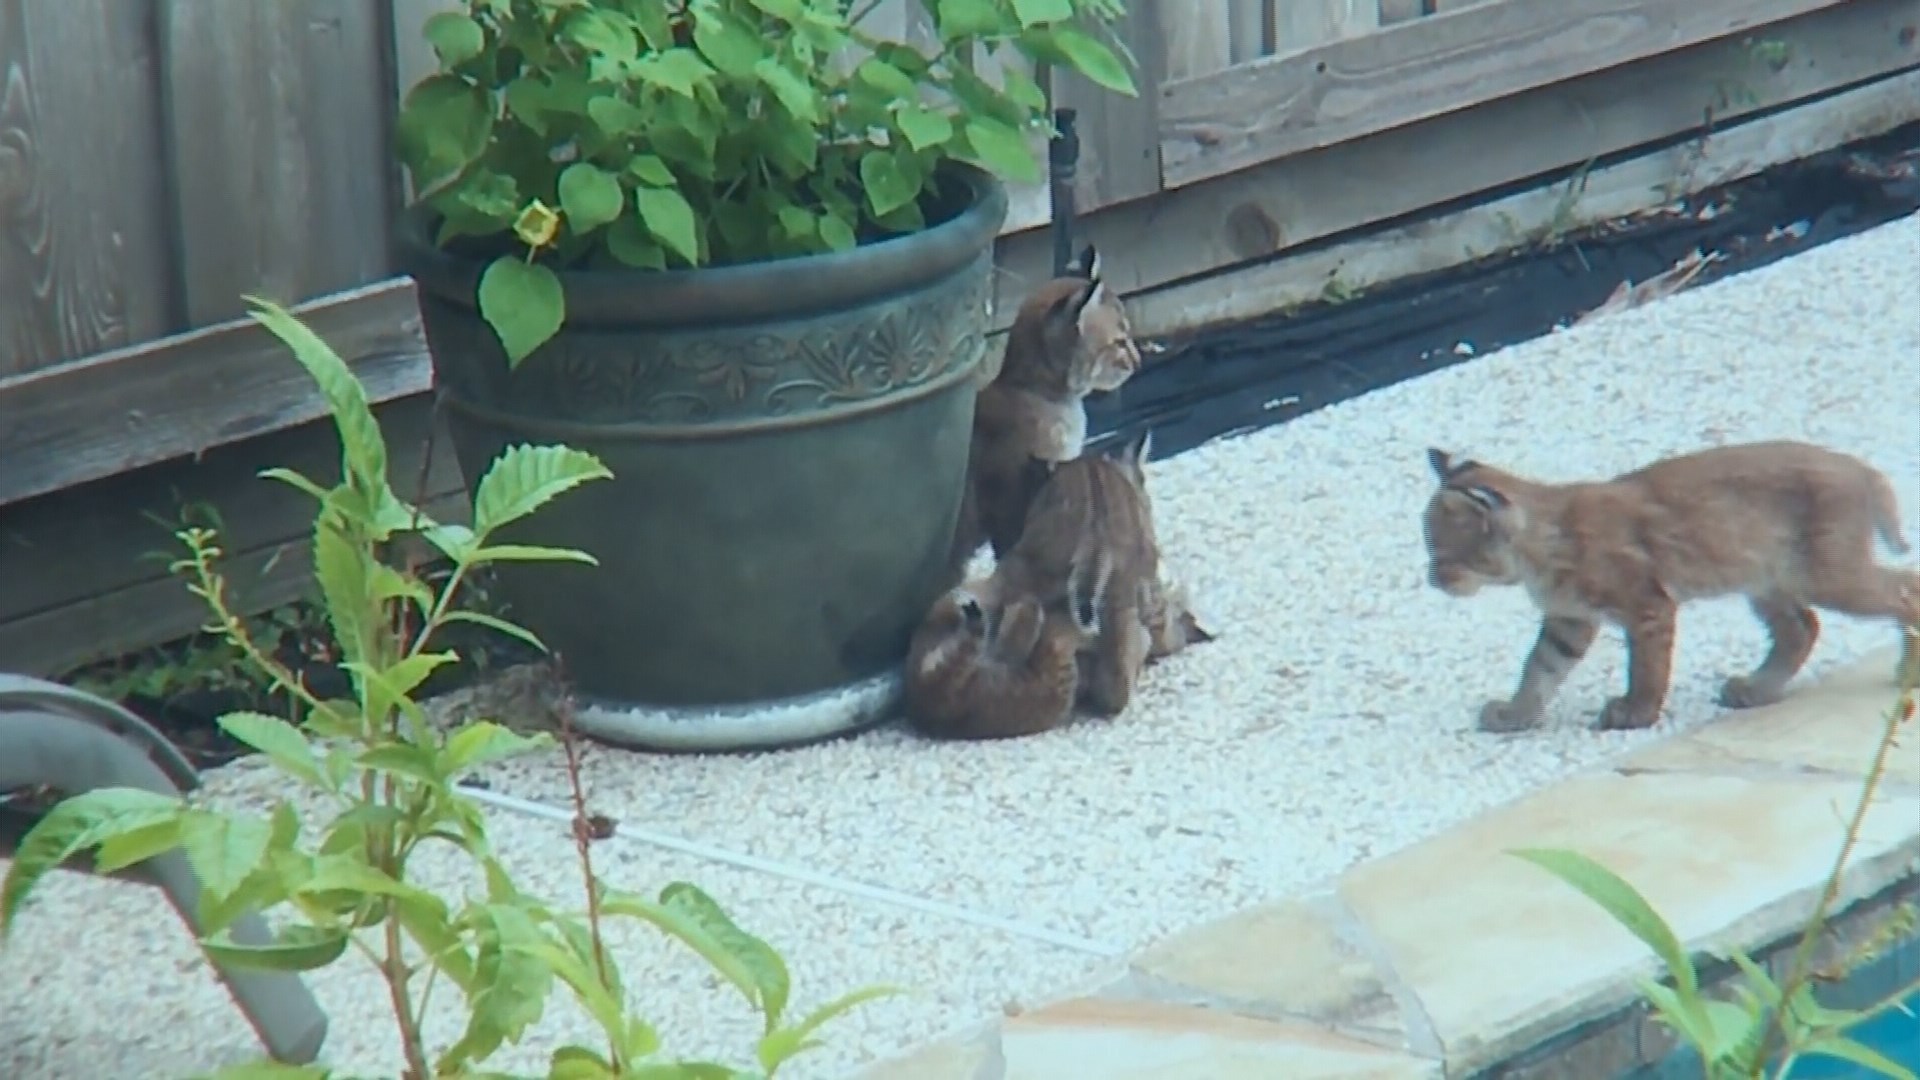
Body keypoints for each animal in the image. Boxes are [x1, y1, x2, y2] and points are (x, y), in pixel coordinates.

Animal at [1420, 438, 1912, 730]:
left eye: (1442, 554)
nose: (1431, 579)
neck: (1534, 550)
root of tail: (1855, 463)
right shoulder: (1569, 619)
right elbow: (1539, 667)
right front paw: (1517, 713)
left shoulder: (1647, 605)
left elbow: (1646, 667)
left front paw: (1637, 712)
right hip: (1766, 575)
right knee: (1802, 627)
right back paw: (1756, 689)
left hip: (1824, 575)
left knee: (1907, 587)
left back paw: (1910, 669)